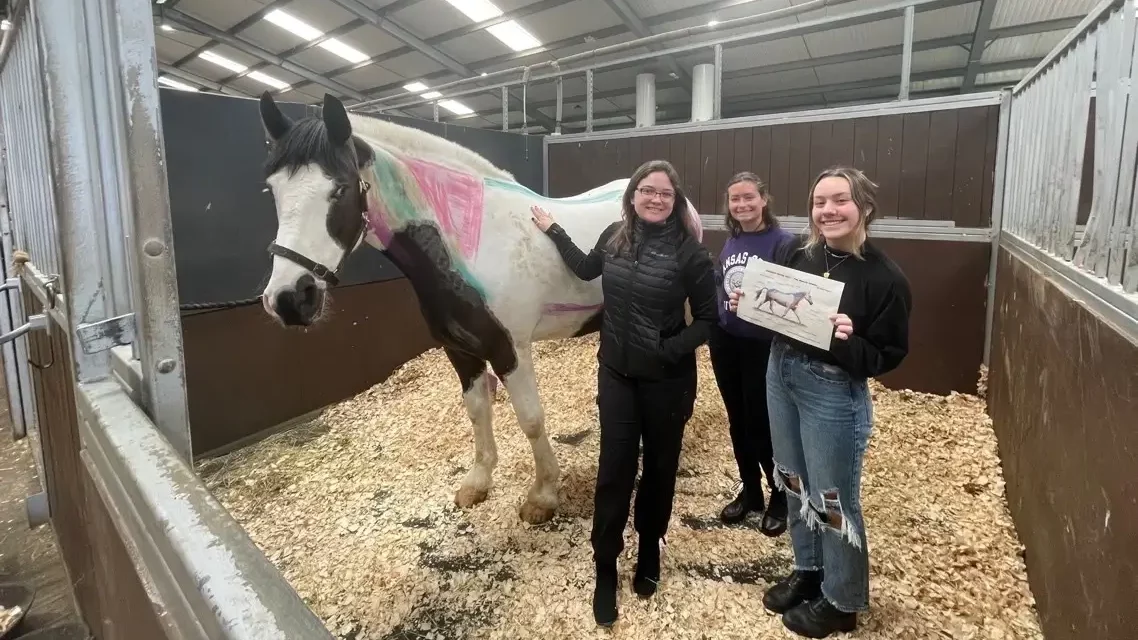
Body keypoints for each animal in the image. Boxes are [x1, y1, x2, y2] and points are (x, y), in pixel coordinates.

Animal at [256, 93, 701, 523]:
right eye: (272, 190)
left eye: (341, 188)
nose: (289, 299)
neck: (468, 241)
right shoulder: (460, 350)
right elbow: (477, 410)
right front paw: (478, 483)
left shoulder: (510, 349)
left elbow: (531, 420)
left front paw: (542, 496)